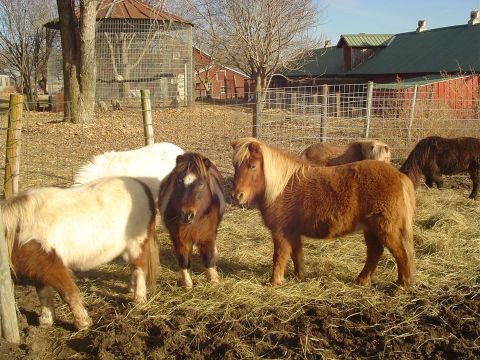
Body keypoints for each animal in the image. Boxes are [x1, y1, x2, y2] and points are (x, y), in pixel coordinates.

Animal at [1, 176, 159, 330]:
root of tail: (142, 186)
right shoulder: (38, 268)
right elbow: (43, 294)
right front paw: (46, 320)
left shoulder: (53, 266)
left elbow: (69, 293)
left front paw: (83, 322)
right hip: (126, 250)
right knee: (133, 268)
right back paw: (130, 289)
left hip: (136, 246)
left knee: (140, 268)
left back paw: (139, 299)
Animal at [158, 153, 224, 288]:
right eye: (178, 181)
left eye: (201, 183)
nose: (186, 215)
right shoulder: (179, 238)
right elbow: (184, 260)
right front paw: (187, 284)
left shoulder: (207, 236)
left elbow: (208, 258)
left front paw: (213, 281)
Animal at [231, 137, 414, 286]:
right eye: (235, 166)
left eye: (252, 166)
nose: (236, 196)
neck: (281, 187)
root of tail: (398, 175)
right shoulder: (292, 232)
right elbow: (296, 254)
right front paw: (299, 276)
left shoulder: (281, 232)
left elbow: (279, 256)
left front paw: (274, 281)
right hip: (371, 229)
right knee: (375, 252)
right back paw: (362, 280)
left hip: (385, 229)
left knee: (401, 254)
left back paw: (401, 284)